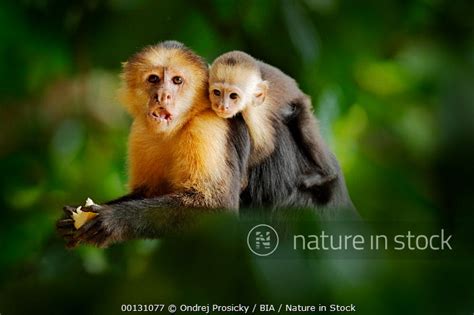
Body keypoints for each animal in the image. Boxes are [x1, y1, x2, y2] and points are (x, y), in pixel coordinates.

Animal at [56, 41, 252, 249]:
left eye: (176, 80)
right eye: (153, 79)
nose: (163, 95)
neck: (179, 126)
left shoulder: (207, 126)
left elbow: (217, 211)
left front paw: (113, 219)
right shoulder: (140, 132)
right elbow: (148, 192)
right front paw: (74, 220)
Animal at [209, 51, 358, 217]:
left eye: (233, 96)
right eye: (217, 93)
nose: (222, 106)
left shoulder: (254, 112)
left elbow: (266, 146)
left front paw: (243, 178)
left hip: (302, 106)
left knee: (304, 128)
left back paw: (328, 173)